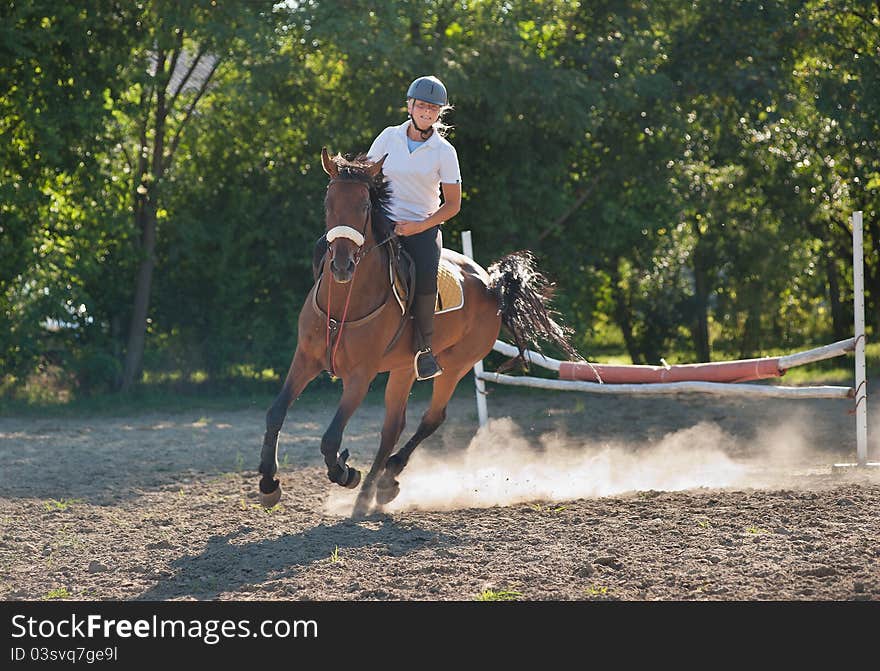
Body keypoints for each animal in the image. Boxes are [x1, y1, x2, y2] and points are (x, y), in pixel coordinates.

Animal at [258, 148, 580, 520]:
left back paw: (381, 485)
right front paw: (268, 484)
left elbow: (330, 438)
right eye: (328, 203)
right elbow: (275, 413)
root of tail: (491, 282)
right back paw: (373, 492)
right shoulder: (306, 360)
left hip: (455, 365)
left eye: (364, 207)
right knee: (392, 427)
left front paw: (346, 472)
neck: (345, 304)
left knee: (429, 418)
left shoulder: (360, 376)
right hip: (402, 369)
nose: (341, 265)